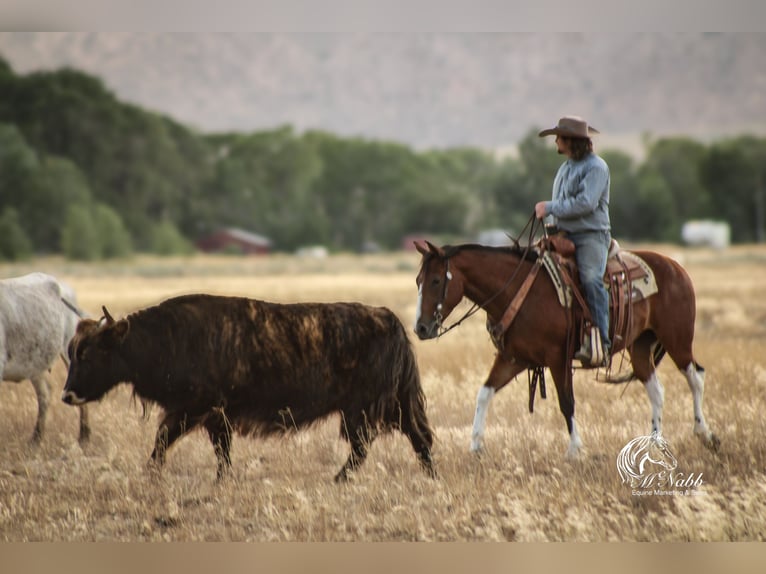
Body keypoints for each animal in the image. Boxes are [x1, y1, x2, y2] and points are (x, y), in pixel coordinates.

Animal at [413, 238, 720, 459]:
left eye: (436, 281)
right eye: (418, 280)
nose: (421, 328)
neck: (519, 293)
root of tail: (676, 268)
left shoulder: (557, 358)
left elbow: (566, 402)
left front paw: (575, 450)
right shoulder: (513, 358)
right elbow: (484, 393)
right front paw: (476, 446)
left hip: (677, 339)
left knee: (696, 377)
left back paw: (704, 433)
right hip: (641, 346)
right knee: (656, 391)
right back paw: (653, 444)